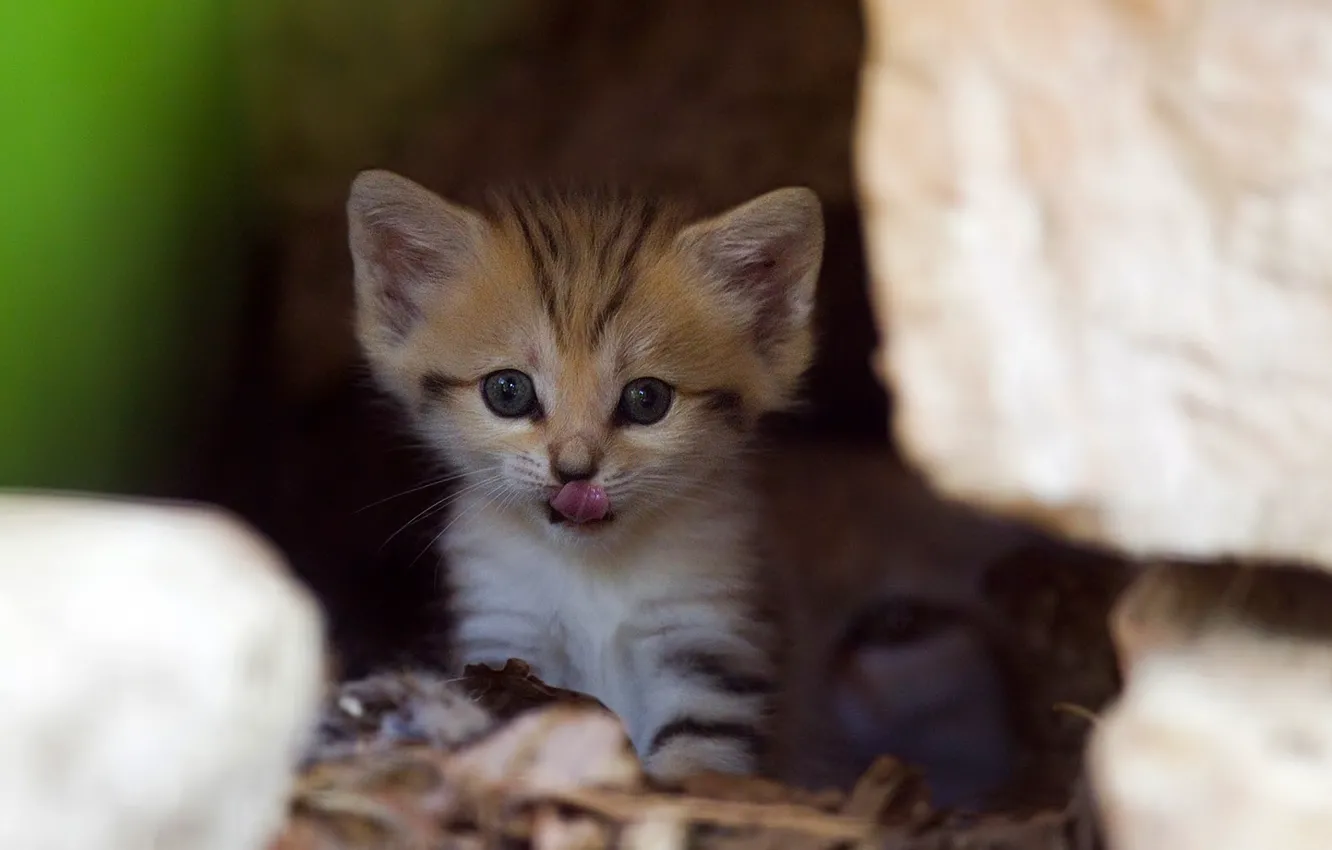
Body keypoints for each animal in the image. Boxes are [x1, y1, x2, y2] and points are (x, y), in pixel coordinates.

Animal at [343, 167, 820, 788]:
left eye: (647, 399)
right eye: (508, 391)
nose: (575, 470)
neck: (592, 570)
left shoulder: (706, 635)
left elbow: (700, 750)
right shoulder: (505, 632)